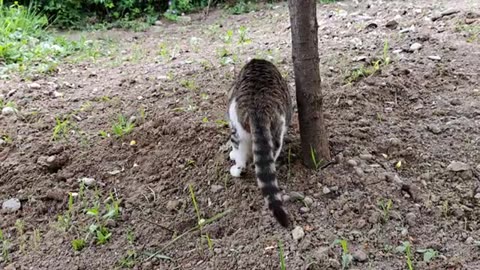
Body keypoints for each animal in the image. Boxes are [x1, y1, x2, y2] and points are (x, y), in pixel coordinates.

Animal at [226, 59, 290, 228]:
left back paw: (237, 168)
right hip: (277, 126)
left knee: (241, 154)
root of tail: (259, 105)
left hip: (236, 126)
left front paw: (232, 154)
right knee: (270, 154)